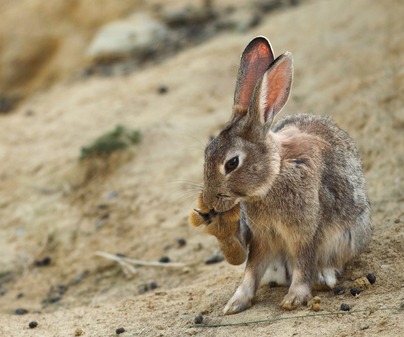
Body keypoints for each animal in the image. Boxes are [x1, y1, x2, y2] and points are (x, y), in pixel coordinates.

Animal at [189, 35, 372, 314]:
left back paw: (323, 278)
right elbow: (251, 270)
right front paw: (235, 303)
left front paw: (294, 299)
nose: (210, 200)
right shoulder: (262, 238)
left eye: (232, 163)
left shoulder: (305, 231)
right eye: (207, 152)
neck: (274, 174)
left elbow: (304, 264)